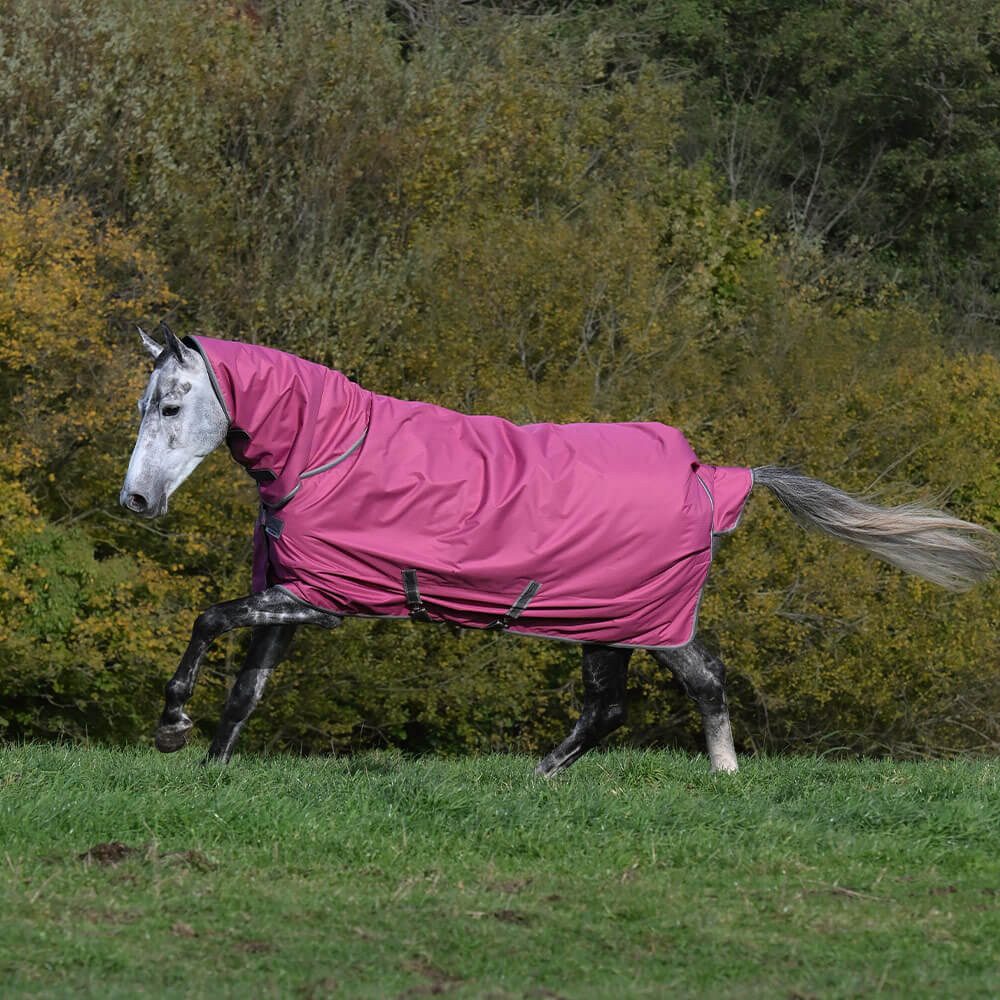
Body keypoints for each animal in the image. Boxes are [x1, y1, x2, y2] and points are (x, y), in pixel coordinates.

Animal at [121, 323, 996, 771]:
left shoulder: (319, 600)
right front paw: (210, 769)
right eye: (145, 403)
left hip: (632, 621)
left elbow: (207, 618)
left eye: (171, 404)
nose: (135, 501)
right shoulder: (291, 596)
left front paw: (171, 726)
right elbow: (248, 691)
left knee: (661, 694)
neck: (326, 453)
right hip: (617, 621)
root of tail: (714, 478)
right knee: (655, 694)